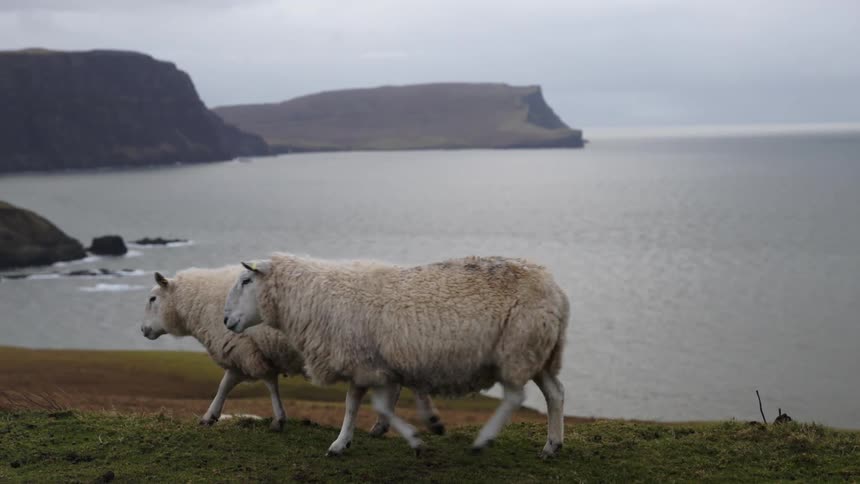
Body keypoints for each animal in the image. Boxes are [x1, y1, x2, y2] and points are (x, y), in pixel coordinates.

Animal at [141, 266, 445, 450]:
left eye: (153, 299)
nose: (143, 330)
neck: (198, 302)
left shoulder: (247, 350)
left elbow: (266, 384)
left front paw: (278, 419)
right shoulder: (245, 351)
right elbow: (225, 385)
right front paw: (210, 416)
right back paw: (388, 425)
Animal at [223, 254, 569, 457]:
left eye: (246, 280)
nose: (226, 320)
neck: (315, 297)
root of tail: (555, 287)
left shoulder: (368, 364)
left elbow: (373, 405)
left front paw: (413, 438)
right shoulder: (368, 363)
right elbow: (356, 405)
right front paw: (343, 442)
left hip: (518, 348)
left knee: (515, 396)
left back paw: (484, 440)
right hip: (539, 353)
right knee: (556, 394)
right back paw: (552, 445)